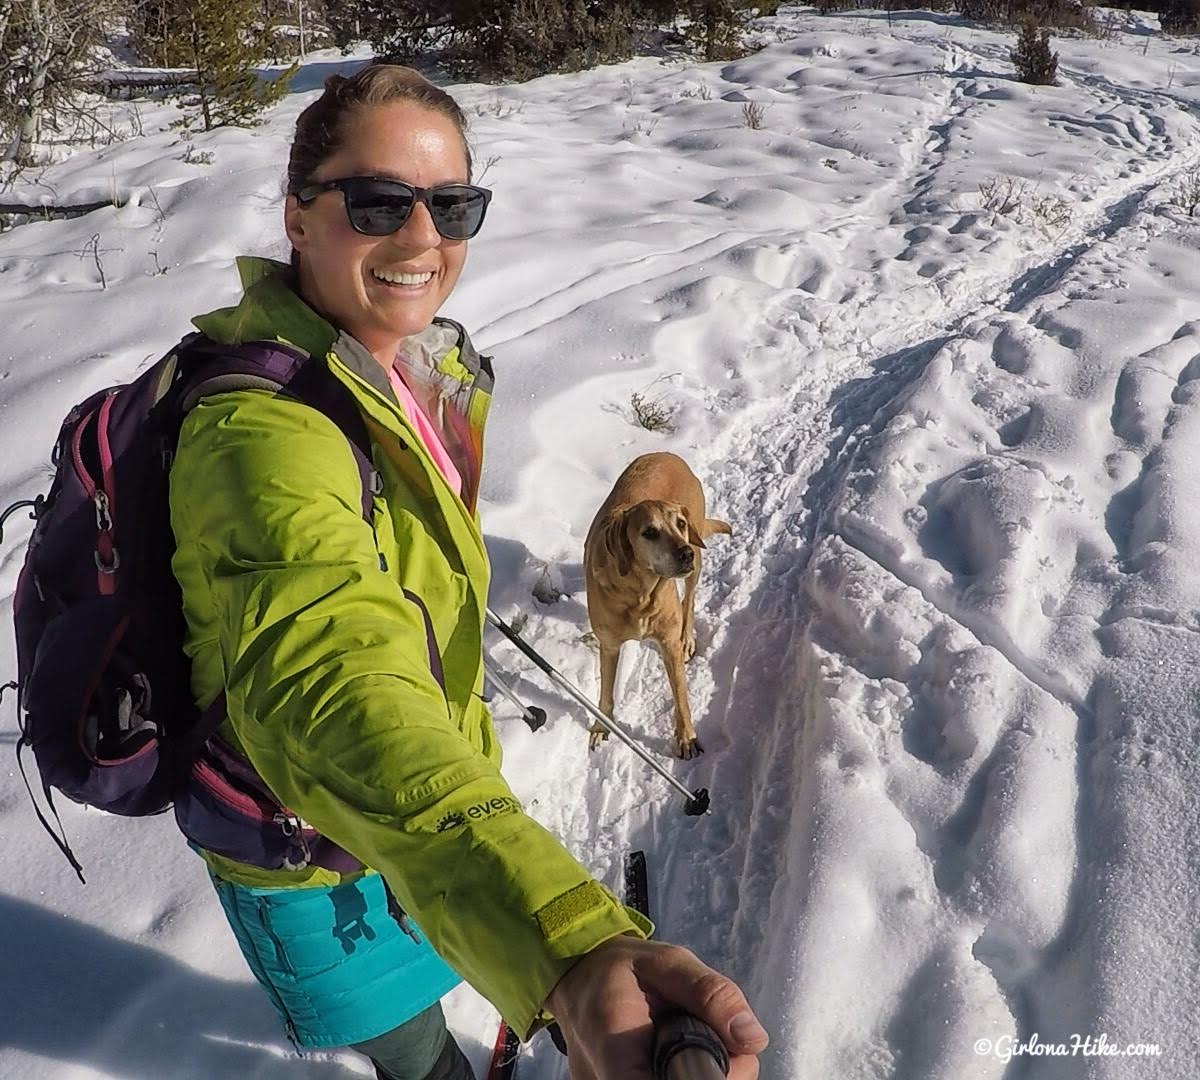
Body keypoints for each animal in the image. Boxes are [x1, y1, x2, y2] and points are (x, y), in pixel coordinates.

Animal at [580, 453, 729, 758]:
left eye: (680, 524)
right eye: (649, 532)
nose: (684, 554)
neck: (639, 593)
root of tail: (669, 455)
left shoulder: (668, 642)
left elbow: (680, 695)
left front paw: (686, 737)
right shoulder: (609, 646)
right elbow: (605, 692)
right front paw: (601, 727)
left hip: (696, 558)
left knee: (689, 600)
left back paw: (688, 638)